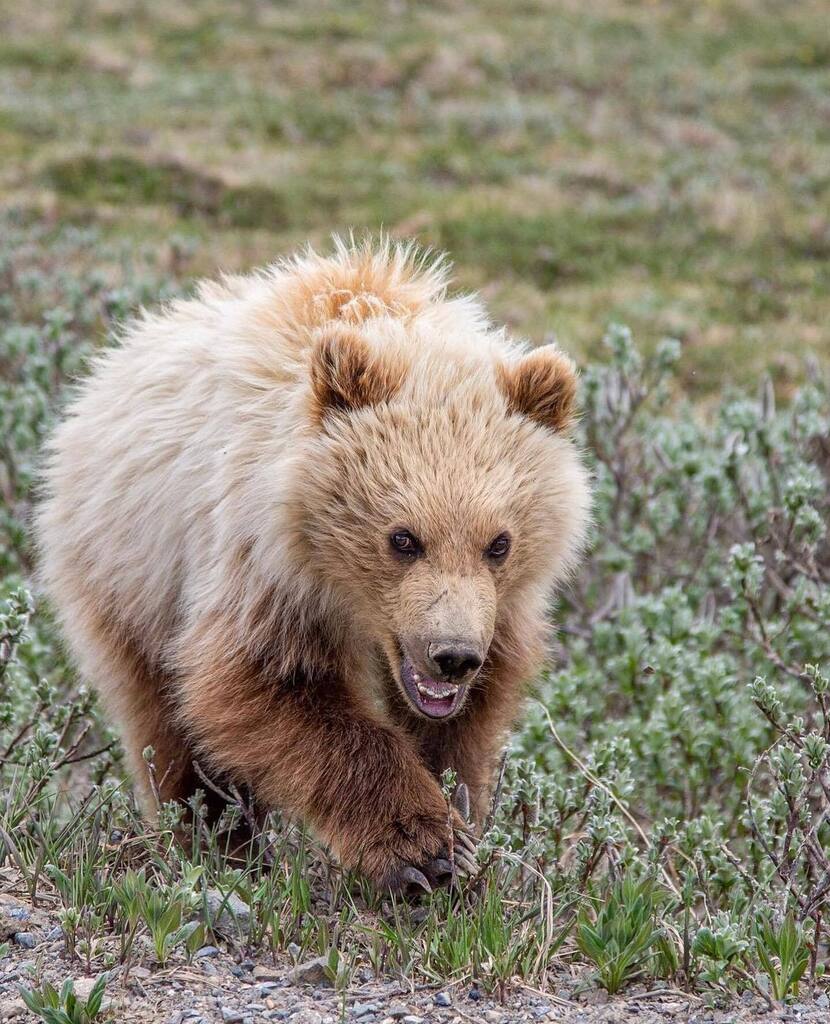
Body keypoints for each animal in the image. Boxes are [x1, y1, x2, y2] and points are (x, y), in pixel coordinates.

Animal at [35, 237, 593, 888]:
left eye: (499, 542)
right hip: (129, 576)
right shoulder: (261, 572)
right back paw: (214, 842)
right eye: (403, 538)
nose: (452, 656)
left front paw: (460, 825)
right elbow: (263, 687)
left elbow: (460, 732)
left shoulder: (498, 616)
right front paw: (422, 848)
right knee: (166, 726)